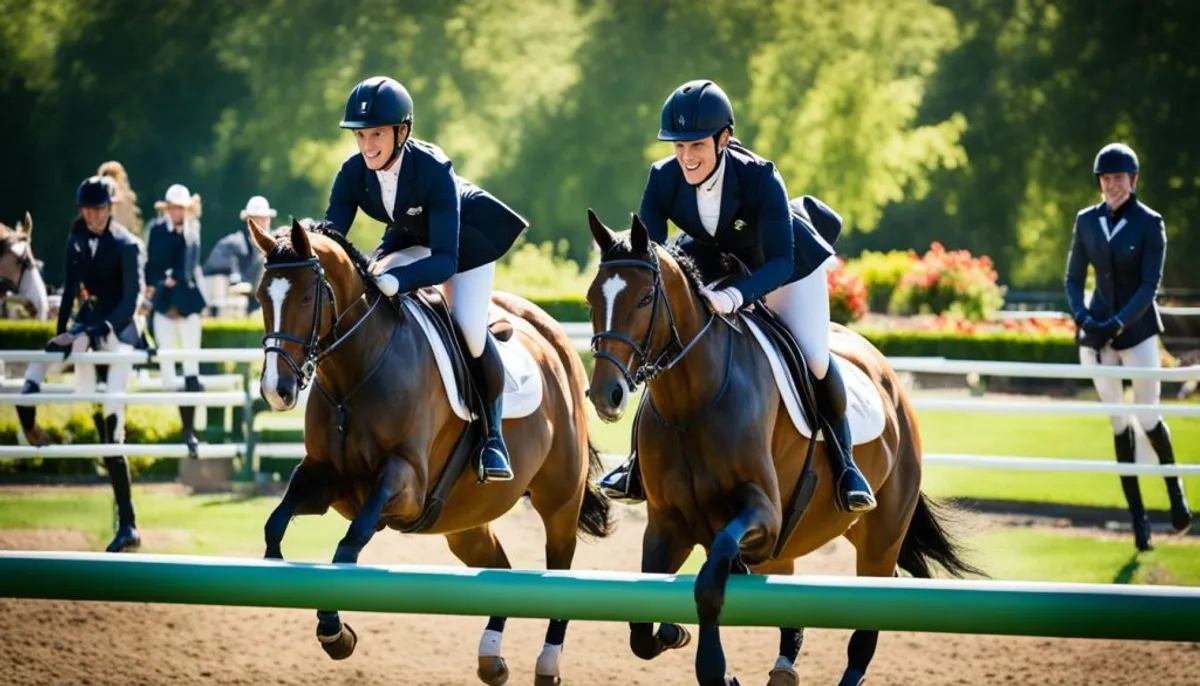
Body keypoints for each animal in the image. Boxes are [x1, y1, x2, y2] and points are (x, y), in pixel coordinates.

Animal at [249, 219, 614, 686]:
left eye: (307, 297)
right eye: (262, 297)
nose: (276, 390)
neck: (357, 369)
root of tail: (556, 339)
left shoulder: (403, 485)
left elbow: (350, 544)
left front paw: (335, 633)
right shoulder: (325, 478)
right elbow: (276, 522)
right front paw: (273, 572)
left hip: (559, 501)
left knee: (560, 569)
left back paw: (547, 663)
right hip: (464, 521)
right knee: (501, 572)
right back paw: (490, 656)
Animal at [585, 213, 979, 686]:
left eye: (646, 298)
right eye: (591, 298)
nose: (606, 395)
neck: (692, 402)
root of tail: (890, 378)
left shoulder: (764, 516)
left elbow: (712, 579)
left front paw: (715, 668)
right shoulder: (667, 524)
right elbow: (643, 629)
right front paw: (673, 633)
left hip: (881, 538)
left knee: (867, 621)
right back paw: (784, 667)